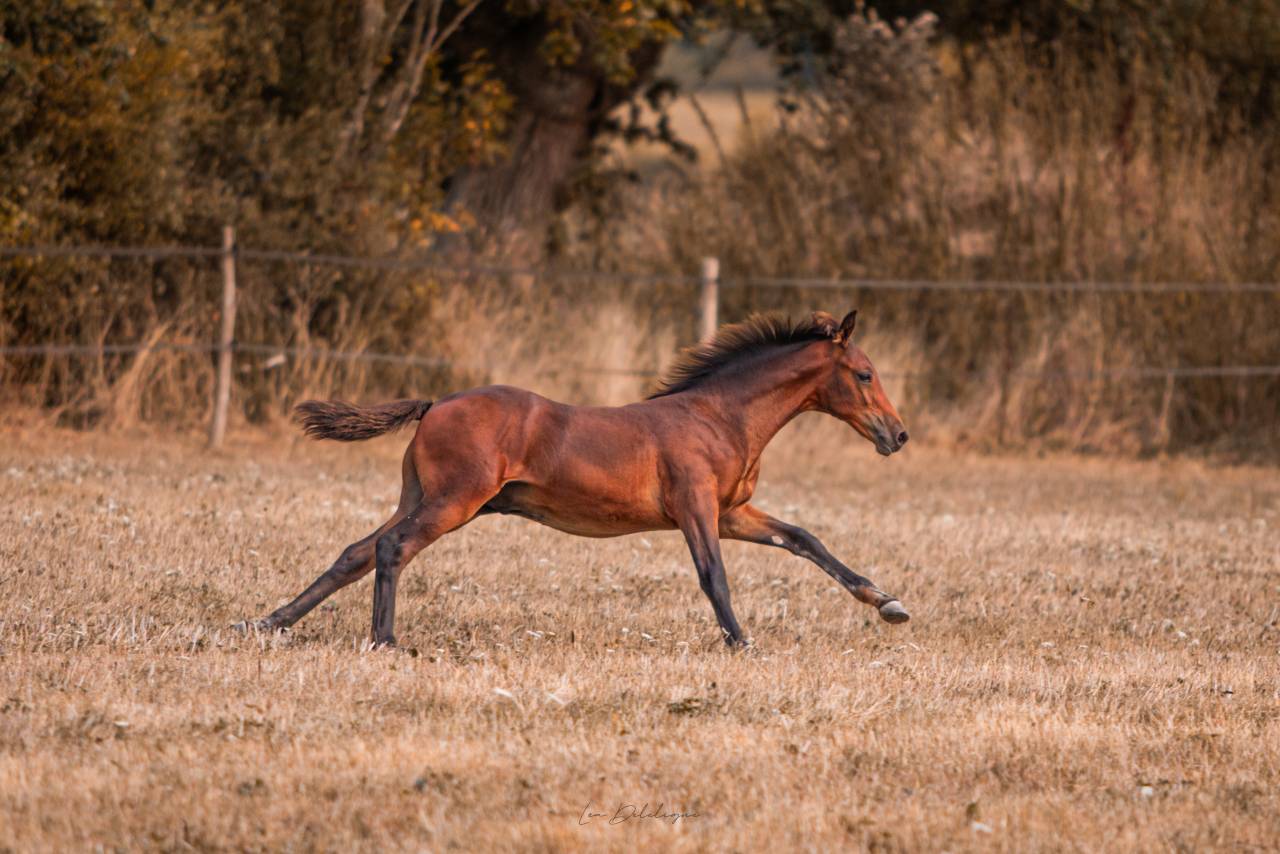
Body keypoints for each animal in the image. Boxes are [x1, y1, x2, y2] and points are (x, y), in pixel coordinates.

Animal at [246, 309, 910, 648]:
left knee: (355, 552)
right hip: (455, 501)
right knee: (391, 547)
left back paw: (266, 623)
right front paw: (742, 643)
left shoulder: (731, 513)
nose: (898, 435)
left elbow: (805, 539)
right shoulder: (696, 508)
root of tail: (436, 404)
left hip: (425, 495)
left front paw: (887, 602)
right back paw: (385, 641)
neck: (719, 417)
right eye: (865, 374)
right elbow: (713, 577)